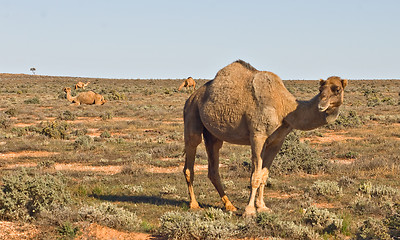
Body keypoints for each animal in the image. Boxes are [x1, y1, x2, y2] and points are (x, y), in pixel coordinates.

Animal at [182, 59, 346, 216]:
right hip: (192, 112)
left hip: (213, 135)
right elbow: (255, 176)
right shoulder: (257, 136)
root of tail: (191, 97)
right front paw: (249, 211)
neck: (285, 108)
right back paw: (194, 204)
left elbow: (264, 175)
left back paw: (230, 205)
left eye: (337, 89)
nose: (322, 105)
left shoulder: (277, 141)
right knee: (190, 159)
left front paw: (262, 207)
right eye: (320, 90)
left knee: (213, 168)